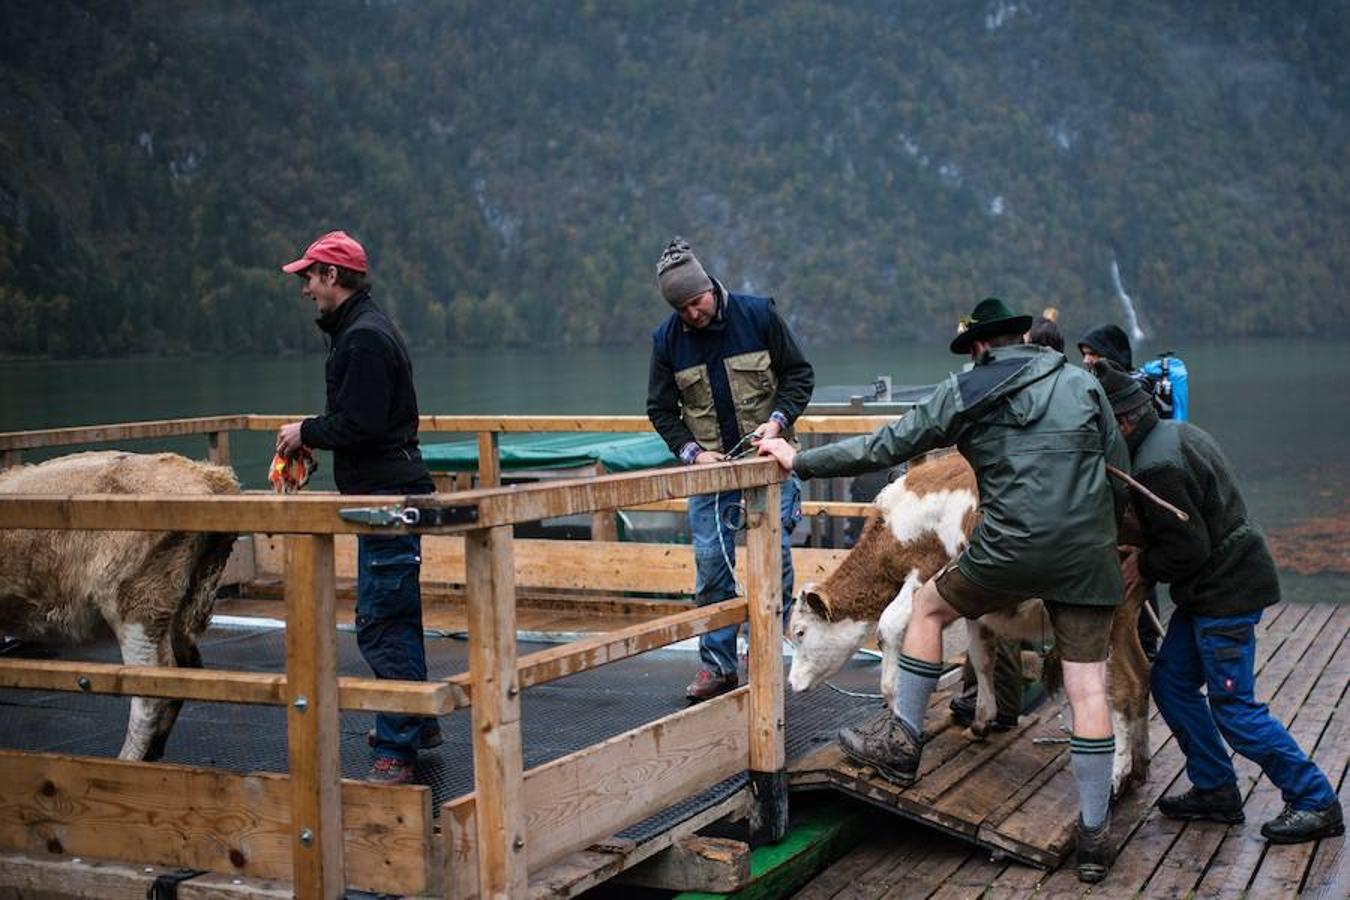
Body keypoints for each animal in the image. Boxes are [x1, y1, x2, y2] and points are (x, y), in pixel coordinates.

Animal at [0, 450, 240, 761]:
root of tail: (211, 479)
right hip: (179, 605)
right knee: (187, 670)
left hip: (137, 603)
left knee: (152, 688)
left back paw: (128, 760)